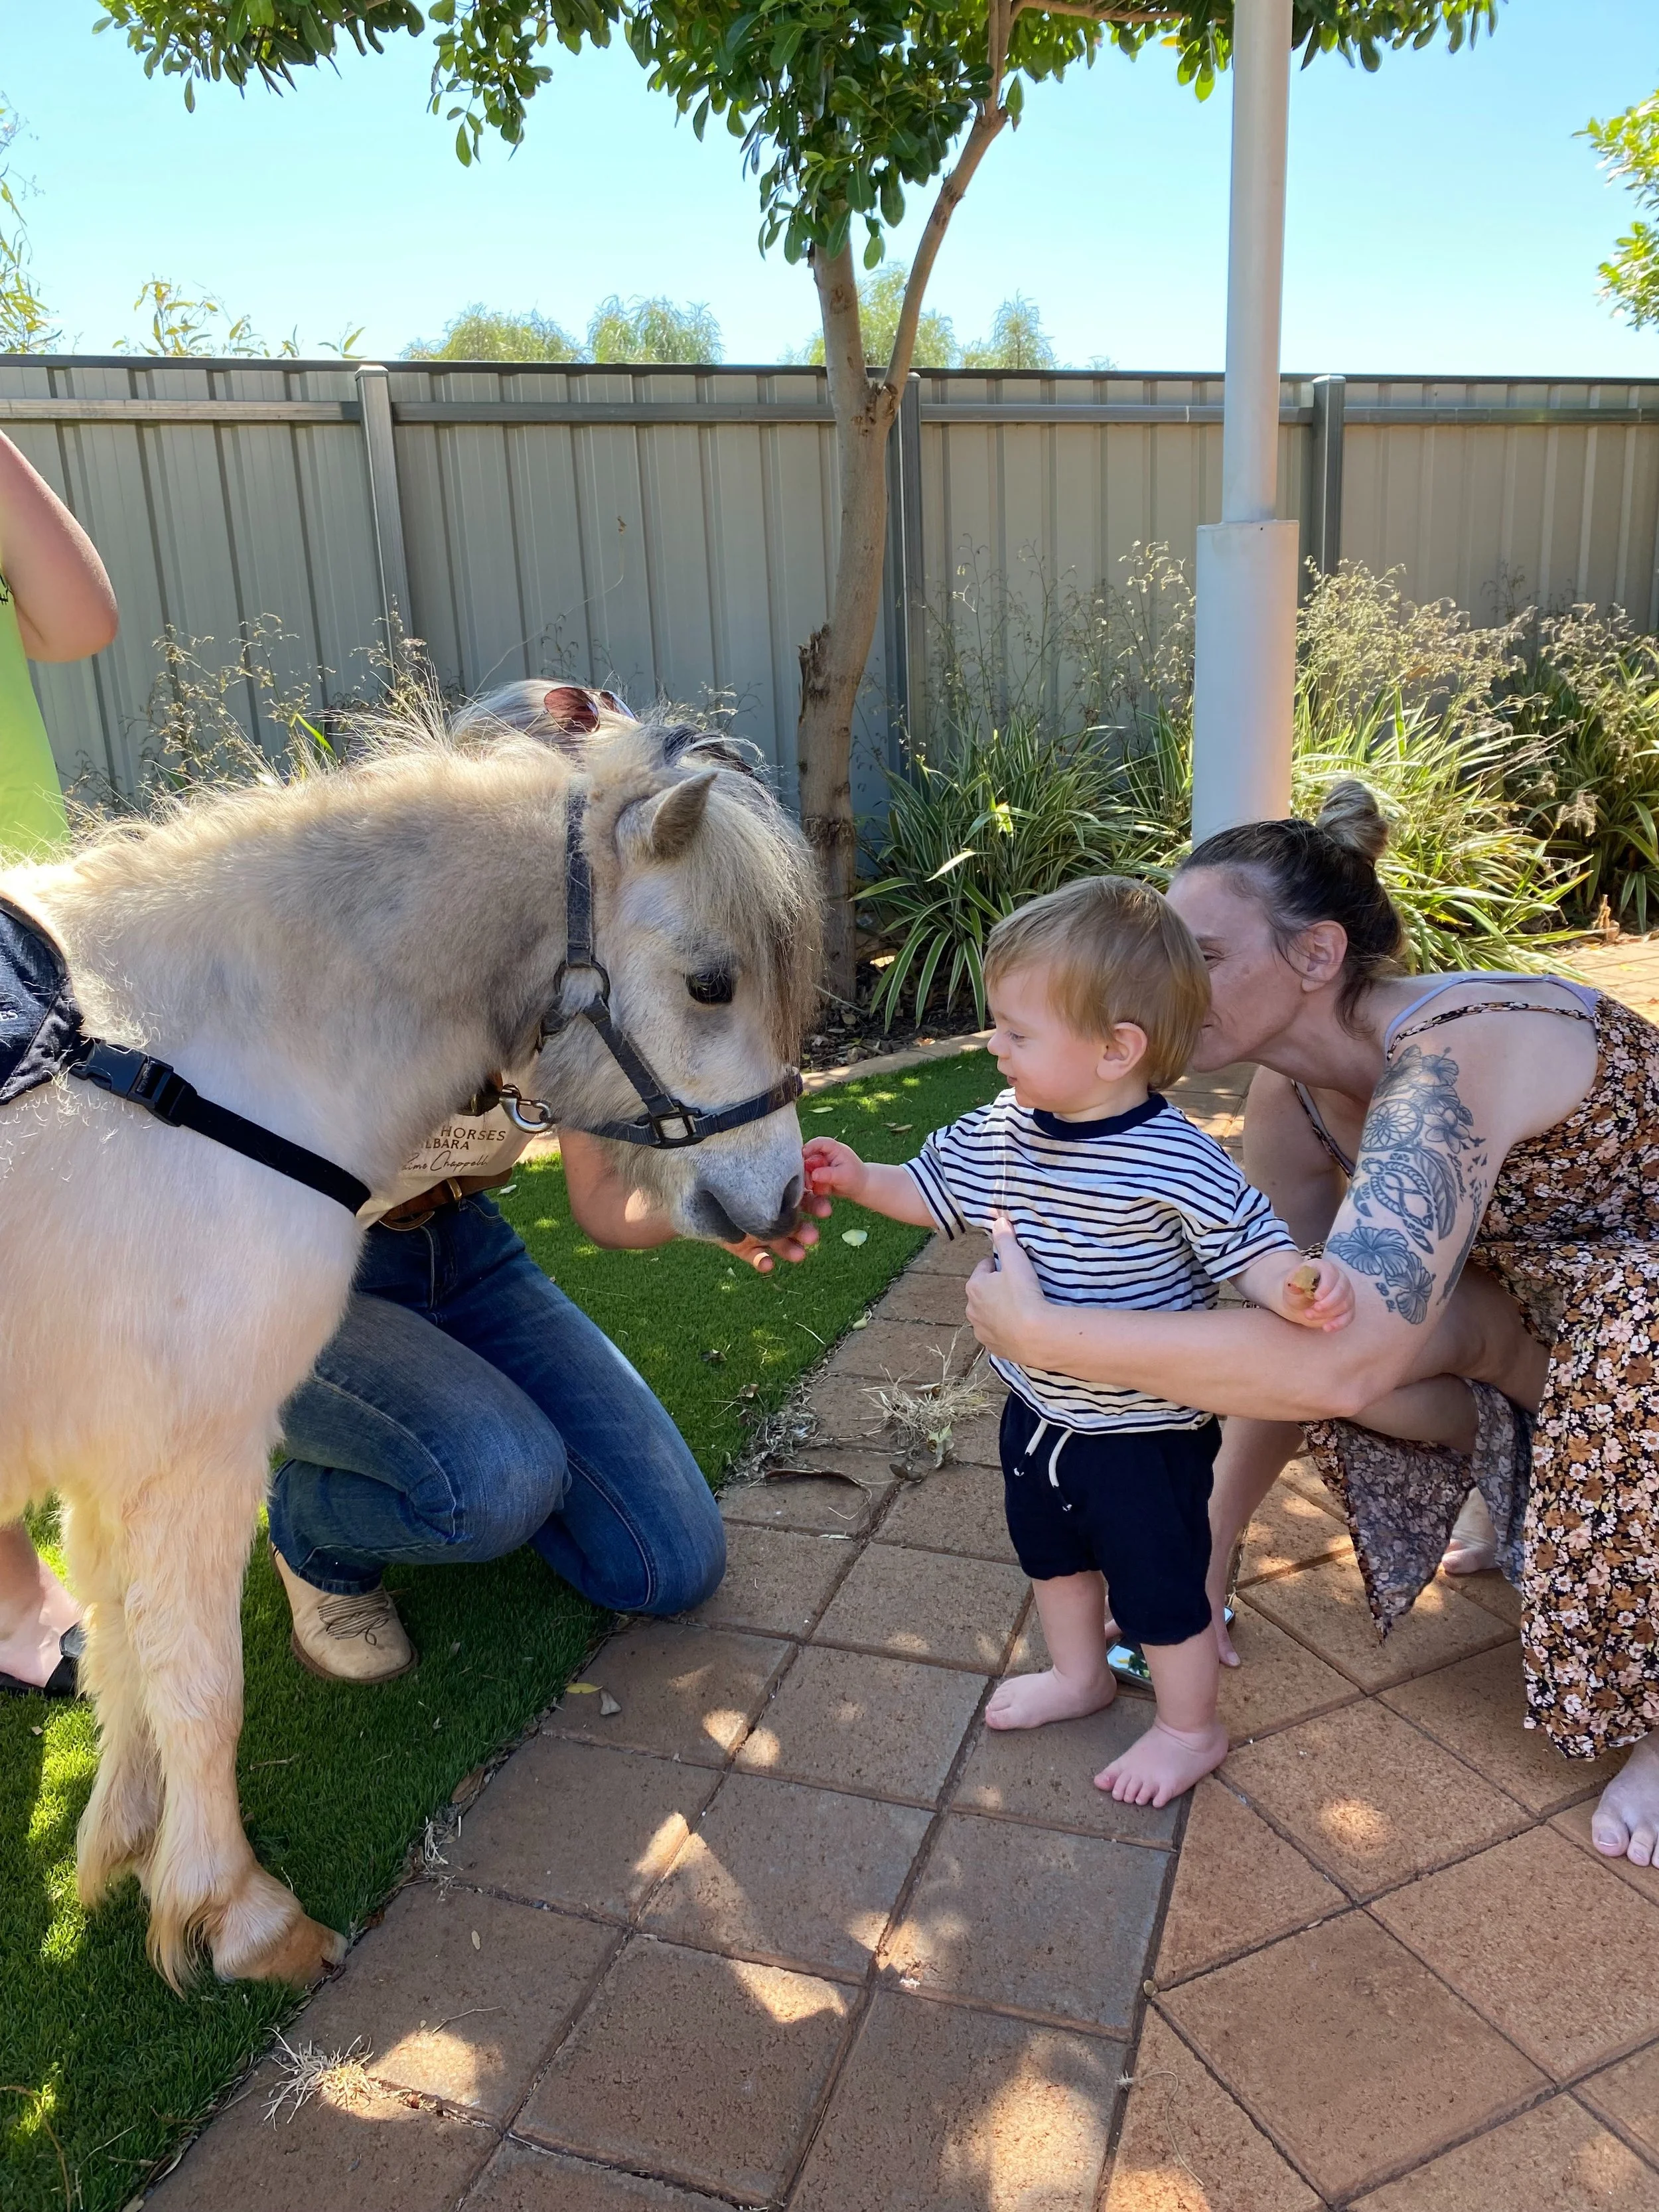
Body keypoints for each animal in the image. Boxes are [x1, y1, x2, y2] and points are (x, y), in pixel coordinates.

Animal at [0, 705, 820, 1989]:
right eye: (710, 981)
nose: (783, 1198)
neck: (187, 1064)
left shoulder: (110, 1462)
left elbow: (128, 1654)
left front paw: (126, 1841)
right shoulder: (192, 1454)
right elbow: (200, 1686)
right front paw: (235, 1912)